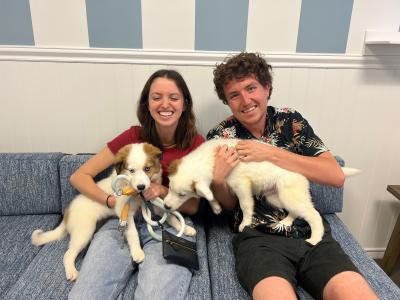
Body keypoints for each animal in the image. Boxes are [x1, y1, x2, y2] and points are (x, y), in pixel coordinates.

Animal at [30, 143, 195, 282]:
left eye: (147, 169)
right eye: (131, 170)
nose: (141, 187)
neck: (138, 195)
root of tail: (68, 212)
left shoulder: (156, 206)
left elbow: (172, 217)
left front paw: (186, 229)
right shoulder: (125, 212)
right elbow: (133, 233)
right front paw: (137, 252)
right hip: (84, 231)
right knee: (68, 254)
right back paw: (71, 271)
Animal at [163, 139, 360, 246]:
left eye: (182, 195)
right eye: (170, 188)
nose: (165, 206)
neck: (209, 158)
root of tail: (303, 172)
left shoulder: (241, 184)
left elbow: (245, 206)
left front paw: (245, 223)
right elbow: (210, 192)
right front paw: (216, 206)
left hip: (290, 196)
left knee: (314, 215)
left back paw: (314, 239)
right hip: (276, 197)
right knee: (295, 212)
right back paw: (286, 222)